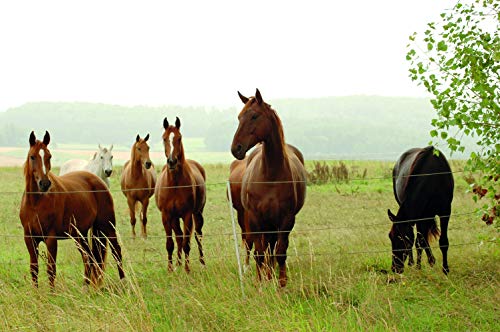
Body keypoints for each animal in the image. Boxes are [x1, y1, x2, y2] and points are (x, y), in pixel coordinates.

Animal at [19, 131, 125, 286]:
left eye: (49, 156)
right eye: (32, 156)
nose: (44, 184)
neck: (36, 204)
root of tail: (99, 181)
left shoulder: (51, 238)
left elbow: (51, 270)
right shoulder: (29, 238)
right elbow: (34, 269)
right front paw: (35, 292)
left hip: (107, 226)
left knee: (116, 251)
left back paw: (124, 283)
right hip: (80, 234)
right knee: (89, 256)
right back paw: (86, 286)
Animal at [154, 116, 205, 272]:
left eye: (179, 137)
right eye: (164, 138)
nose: (172, 161)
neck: (175, 184)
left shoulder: (187, 215)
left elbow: (187, 243)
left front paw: (187, 270)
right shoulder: (166, 216)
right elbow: (170, 243)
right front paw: (171, 269)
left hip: (198, 214)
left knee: (198, 235)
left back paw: (202, 263)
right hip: (174, 218)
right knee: (178, 237)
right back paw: (178, 263)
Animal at [231, 89, 308, 286]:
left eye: (254, 116)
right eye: (239, 117)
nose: (236, 149)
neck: (271, 175)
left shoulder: (286, 220)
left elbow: (280, 253)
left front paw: (281, 284)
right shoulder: (255, 218)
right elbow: (259, 253)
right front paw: (260, 284)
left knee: (272, 249)